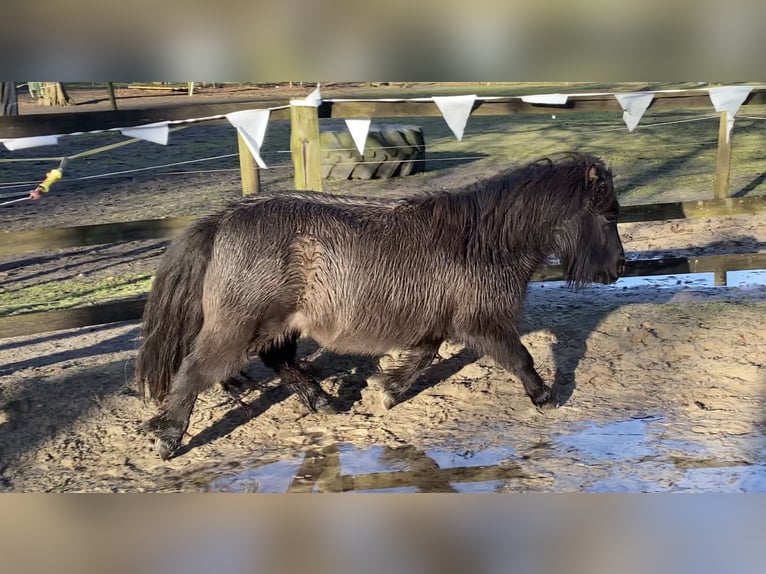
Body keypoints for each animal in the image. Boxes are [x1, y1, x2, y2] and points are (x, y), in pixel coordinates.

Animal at [136, 152, 624, 460]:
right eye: (609, 216)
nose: (620, 267)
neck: (484, 242)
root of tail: (224, 219)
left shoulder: (440, 322)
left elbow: (423, 357)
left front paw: (386, 392)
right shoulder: (484, 322)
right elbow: (519, 358)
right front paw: (546, 397)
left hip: (279, 323)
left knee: (279, 361)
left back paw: (325, 404)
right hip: (240, 325)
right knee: (195, 371)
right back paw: (169, 441)